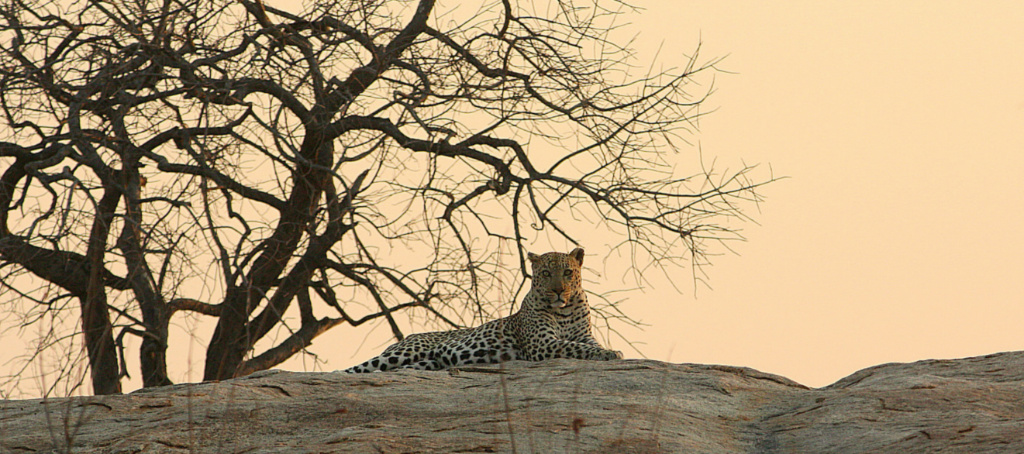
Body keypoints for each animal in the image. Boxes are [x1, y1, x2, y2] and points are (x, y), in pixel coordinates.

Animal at [340, 248, 622, 373]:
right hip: (403, 352)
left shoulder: (583, 335)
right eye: (545, 273)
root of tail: (408, 336)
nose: (559, 291)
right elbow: (576, 348)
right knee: (353, 370)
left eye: (567, 272)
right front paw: (612, 354)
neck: (564, 311)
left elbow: (587, 345)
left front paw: (608, 351)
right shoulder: (543, 344)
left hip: (424, 362)